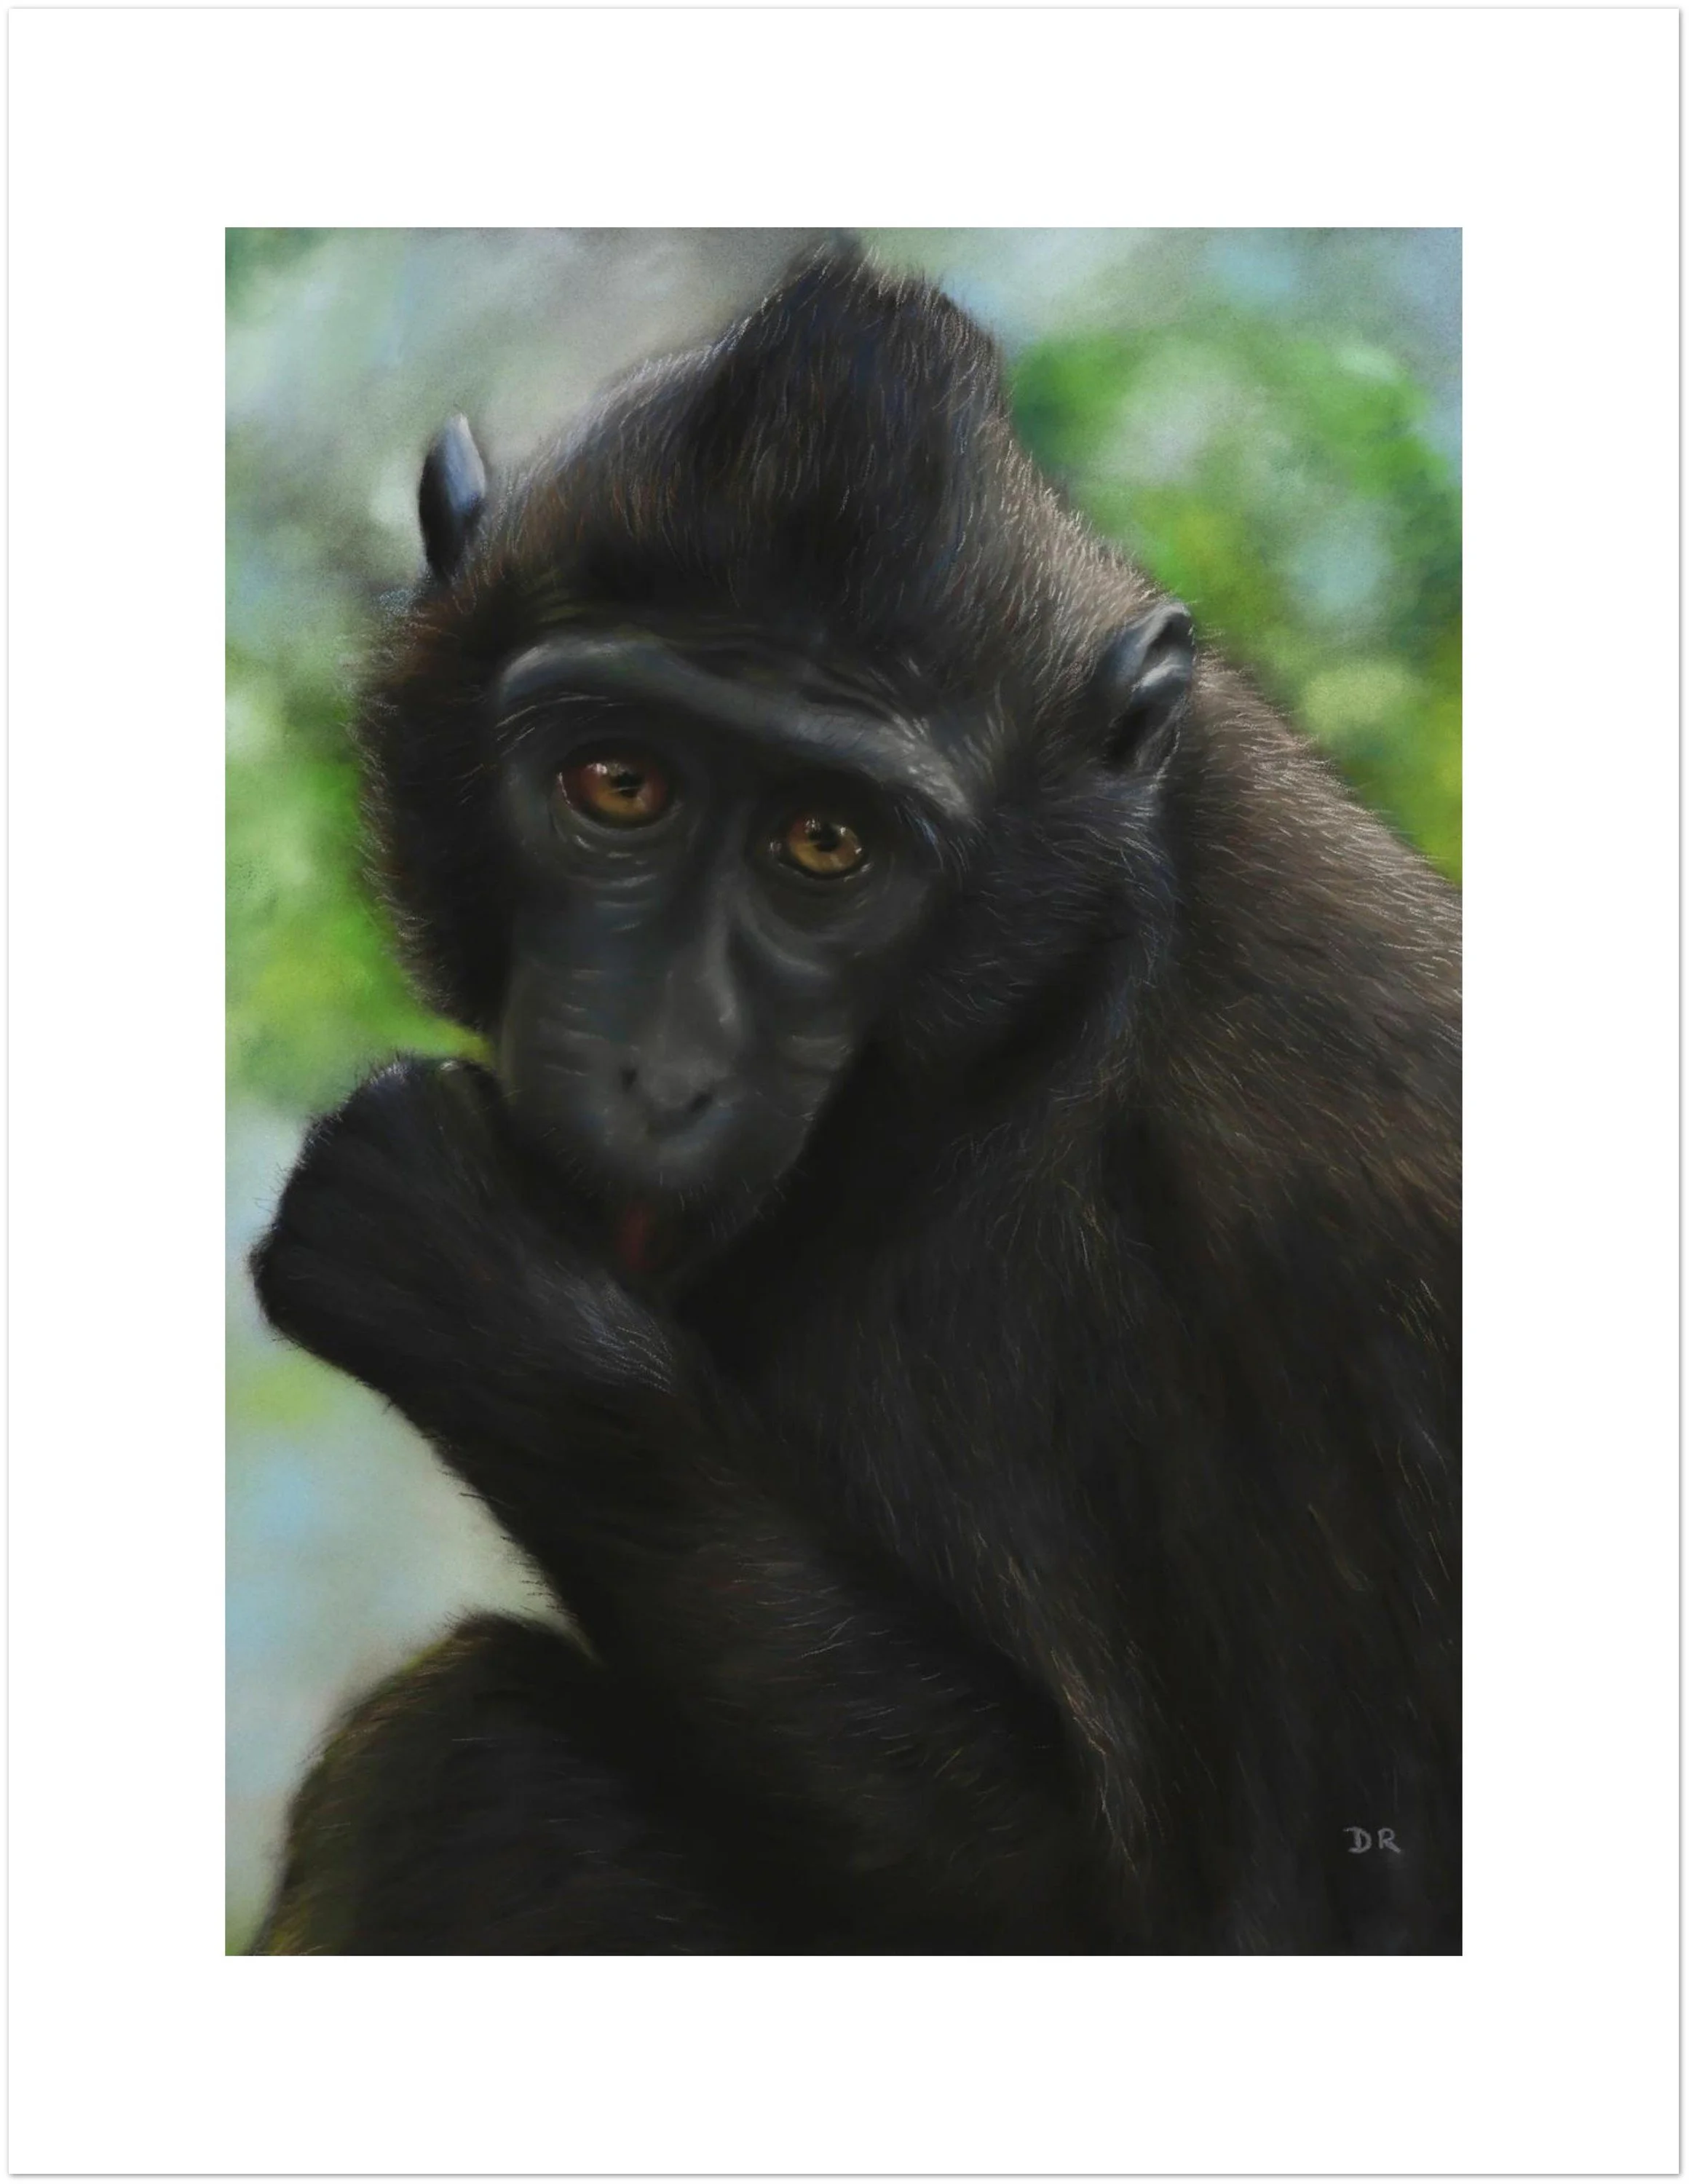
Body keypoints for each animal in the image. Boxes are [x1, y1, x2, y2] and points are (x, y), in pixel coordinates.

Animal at [250, 244, 1460, 1954]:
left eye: (827, 847)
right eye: (617, 786)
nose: (660, 1070)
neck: (1021, 1018)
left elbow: (1085, 1881)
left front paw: (472, 1288)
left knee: (468, 1751)